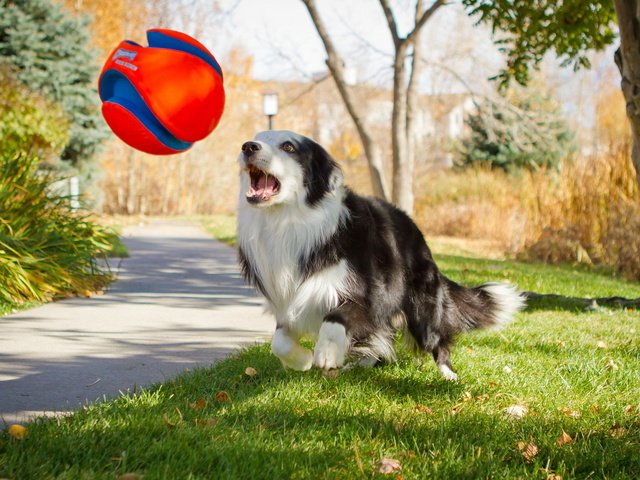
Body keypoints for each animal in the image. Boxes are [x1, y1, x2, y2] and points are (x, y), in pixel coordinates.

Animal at [236, 130, 524, 378]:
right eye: (259, 138)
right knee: (380, 339)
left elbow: (337, 317)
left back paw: (449, 375)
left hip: (422, 310)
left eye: (288, 146)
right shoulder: (287, 300)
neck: (288, 220)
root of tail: (417, 231)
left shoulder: (367, 293)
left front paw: (327, 351)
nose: (248, 146)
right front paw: (302, 360)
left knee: (436, 340)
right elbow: (279, 342)